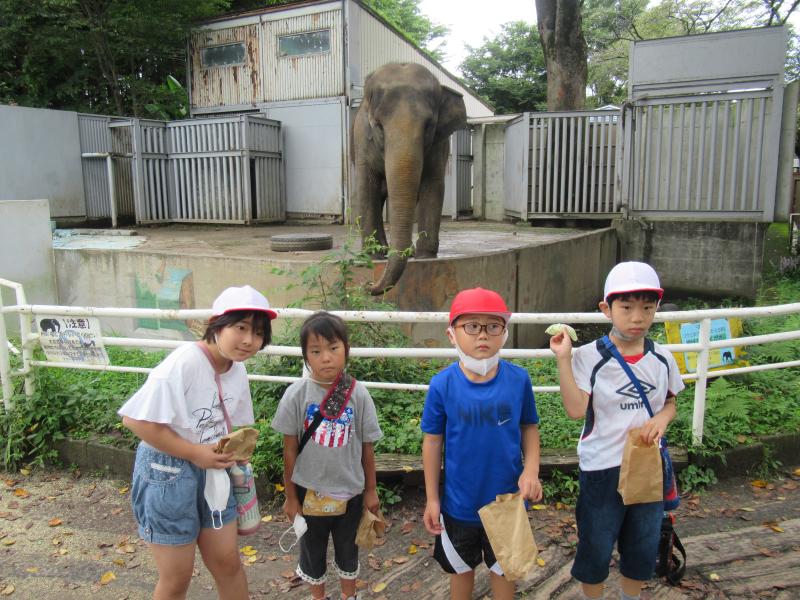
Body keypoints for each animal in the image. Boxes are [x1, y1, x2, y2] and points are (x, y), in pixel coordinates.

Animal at [352, 62, 468, 292]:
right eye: (378, 126)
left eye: (429, 126)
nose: (368, 284)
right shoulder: (362, 140)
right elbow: (366, 187)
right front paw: (372, 257)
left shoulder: (439, 144)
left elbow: (433, 185)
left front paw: (425, 257)